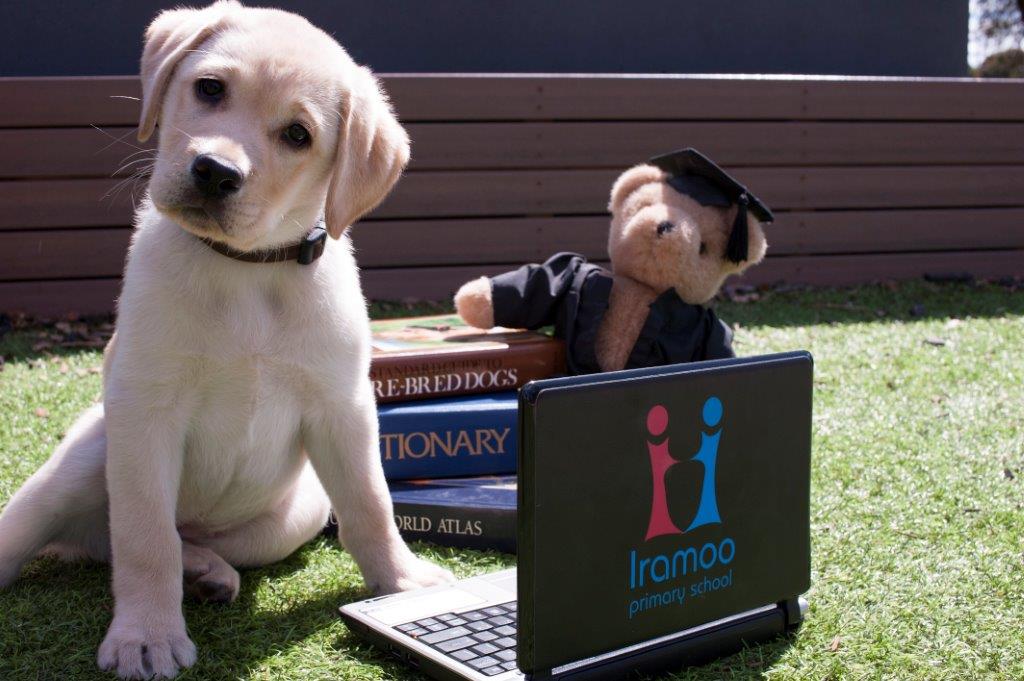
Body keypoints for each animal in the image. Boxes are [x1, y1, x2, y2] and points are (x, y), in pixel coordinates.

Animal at [0, 1, 452, 675]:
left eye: (298, 135)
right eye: (209, 88)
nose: (214, 172)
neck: (246, 271)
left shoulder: (342, 407)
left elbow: (372, 503)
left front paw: (402, 583)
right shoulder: (146, 410)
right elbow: (144, 536)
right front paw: (146, 635)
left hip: (299, 510)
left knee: (156, 540)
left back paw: (204, 570)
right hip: (82, 462)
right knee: (94, 535)